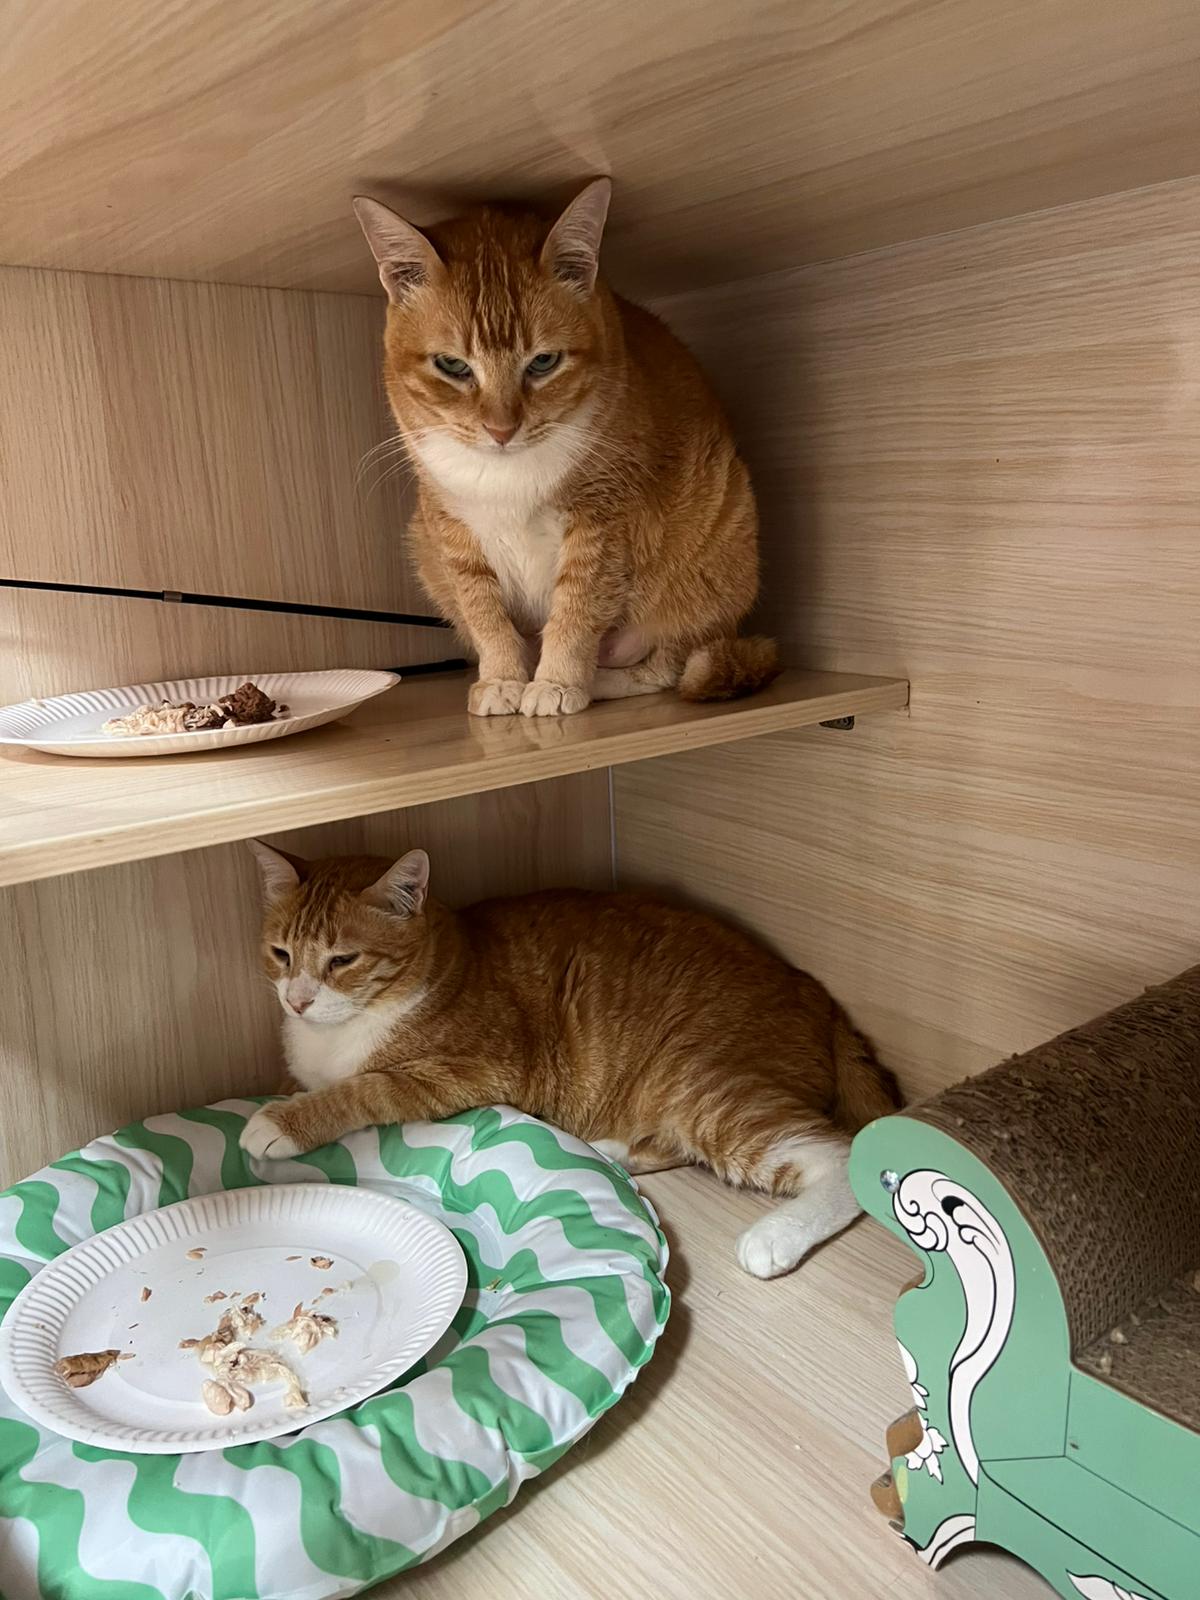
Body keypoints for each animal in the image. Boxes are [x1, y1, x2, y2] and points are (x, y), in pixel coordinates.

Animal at [240, 842, 900, 1278]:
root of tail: (813, 992)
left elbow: (362, 1089)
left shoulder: (462, 1073)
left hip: (700, 1085)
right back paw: (611, 1149)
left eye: (342, 961)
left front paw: (279, 1121)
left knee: (839, 1154)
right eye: (281, 953)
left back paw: (775, 1236)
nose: (297, 1000)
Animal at [353, 179, 778, 719]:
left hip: (713, 554)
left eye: (544, 362)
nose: (501, 429)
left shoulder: (602, 523)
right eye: (452, 365)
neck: (507, 476)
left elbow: (575, 613)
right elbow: (485, 614)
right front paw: (503, 679)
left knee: (667, 666)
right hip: (423, 549)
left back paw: (597, 680)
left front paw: (555, 682)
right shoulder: (451, 529)